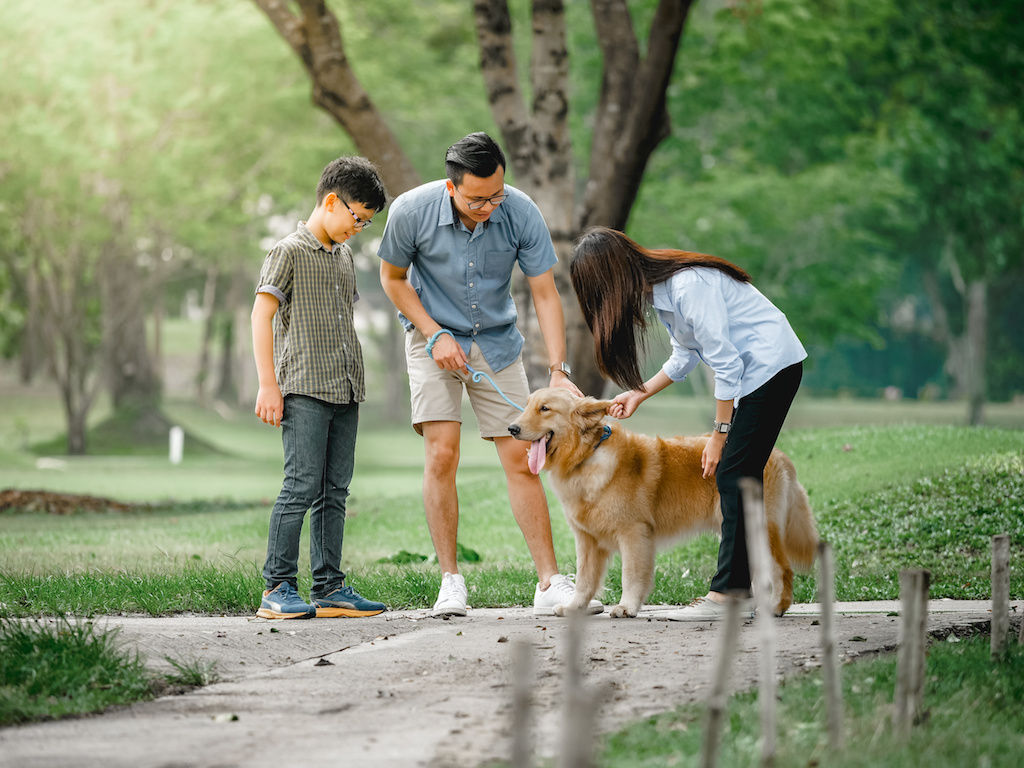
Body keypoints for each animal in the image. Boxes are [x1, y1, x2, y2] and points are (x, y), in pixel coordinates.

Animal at [507, 391, 819, 618]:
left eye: (545, 409)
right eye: (529, 405)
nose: (511, 428)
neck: (586, 458)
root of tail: (778, 455)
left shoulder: (634, 533)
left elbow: (631, 576)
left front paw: (627, 607)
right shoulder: (587, 539)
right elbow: (585, 581)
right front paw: (575, 608)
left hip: (757, 525)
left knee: (782, 569)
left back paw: (776, 607)